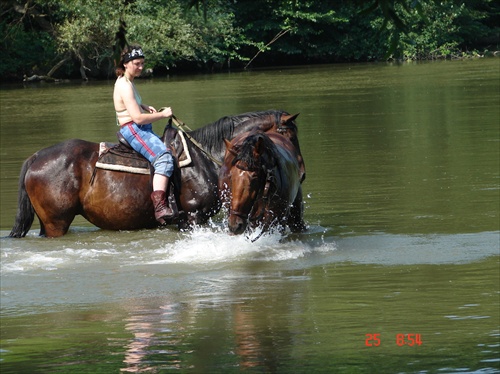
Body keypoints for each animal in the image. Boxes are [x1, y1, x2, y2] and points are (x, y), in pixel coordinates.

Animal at [9, 109, 302, 237]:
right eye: (290, 134)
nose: (300, 168)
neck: (205, 157)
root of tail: (36, 157)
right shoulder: (194, 217)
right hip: (56, 222)